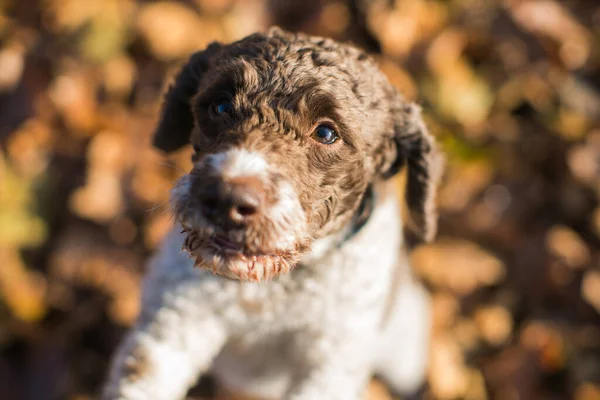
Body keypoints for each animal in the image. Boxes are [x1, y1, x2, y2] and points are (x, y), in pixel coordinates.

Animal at [103, 28, 442, 400]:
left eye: (327, 132)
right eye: (220, 105)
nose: (226, 199)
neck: (271, 290)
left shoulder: (331, 364)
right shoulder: (172, 322)